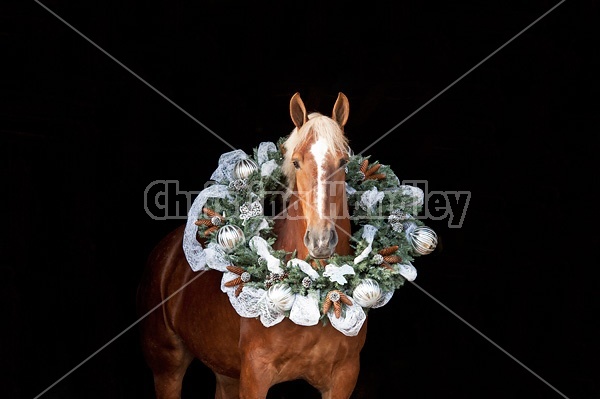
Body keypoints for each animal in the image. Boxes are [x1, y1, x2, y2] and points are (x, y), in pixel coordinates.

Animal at [138, 91, 366, 399]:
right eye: (296, 162)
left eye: (342, 162)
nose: (320, 240)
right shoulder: (255, 375)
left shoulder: (343, 377)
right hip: (167, 367)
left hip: (226, 374)